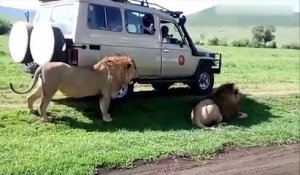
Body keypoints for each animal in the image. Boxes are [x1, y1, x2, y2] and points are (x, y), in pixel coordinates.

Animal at [8, 55, 137, 122]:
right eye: (135, 68)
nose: (137, 76)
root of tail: (43, 65)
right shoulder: (106, 93)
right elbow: (105, 107)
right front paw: (107, 118)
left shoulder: (102, 93)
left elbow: (101, 106)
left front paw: (106, 117)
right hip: (50, 89)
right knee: (42, 105)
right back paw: (47, 119)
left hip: (42, 87)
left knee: (30, 97)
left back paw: (32, 111)